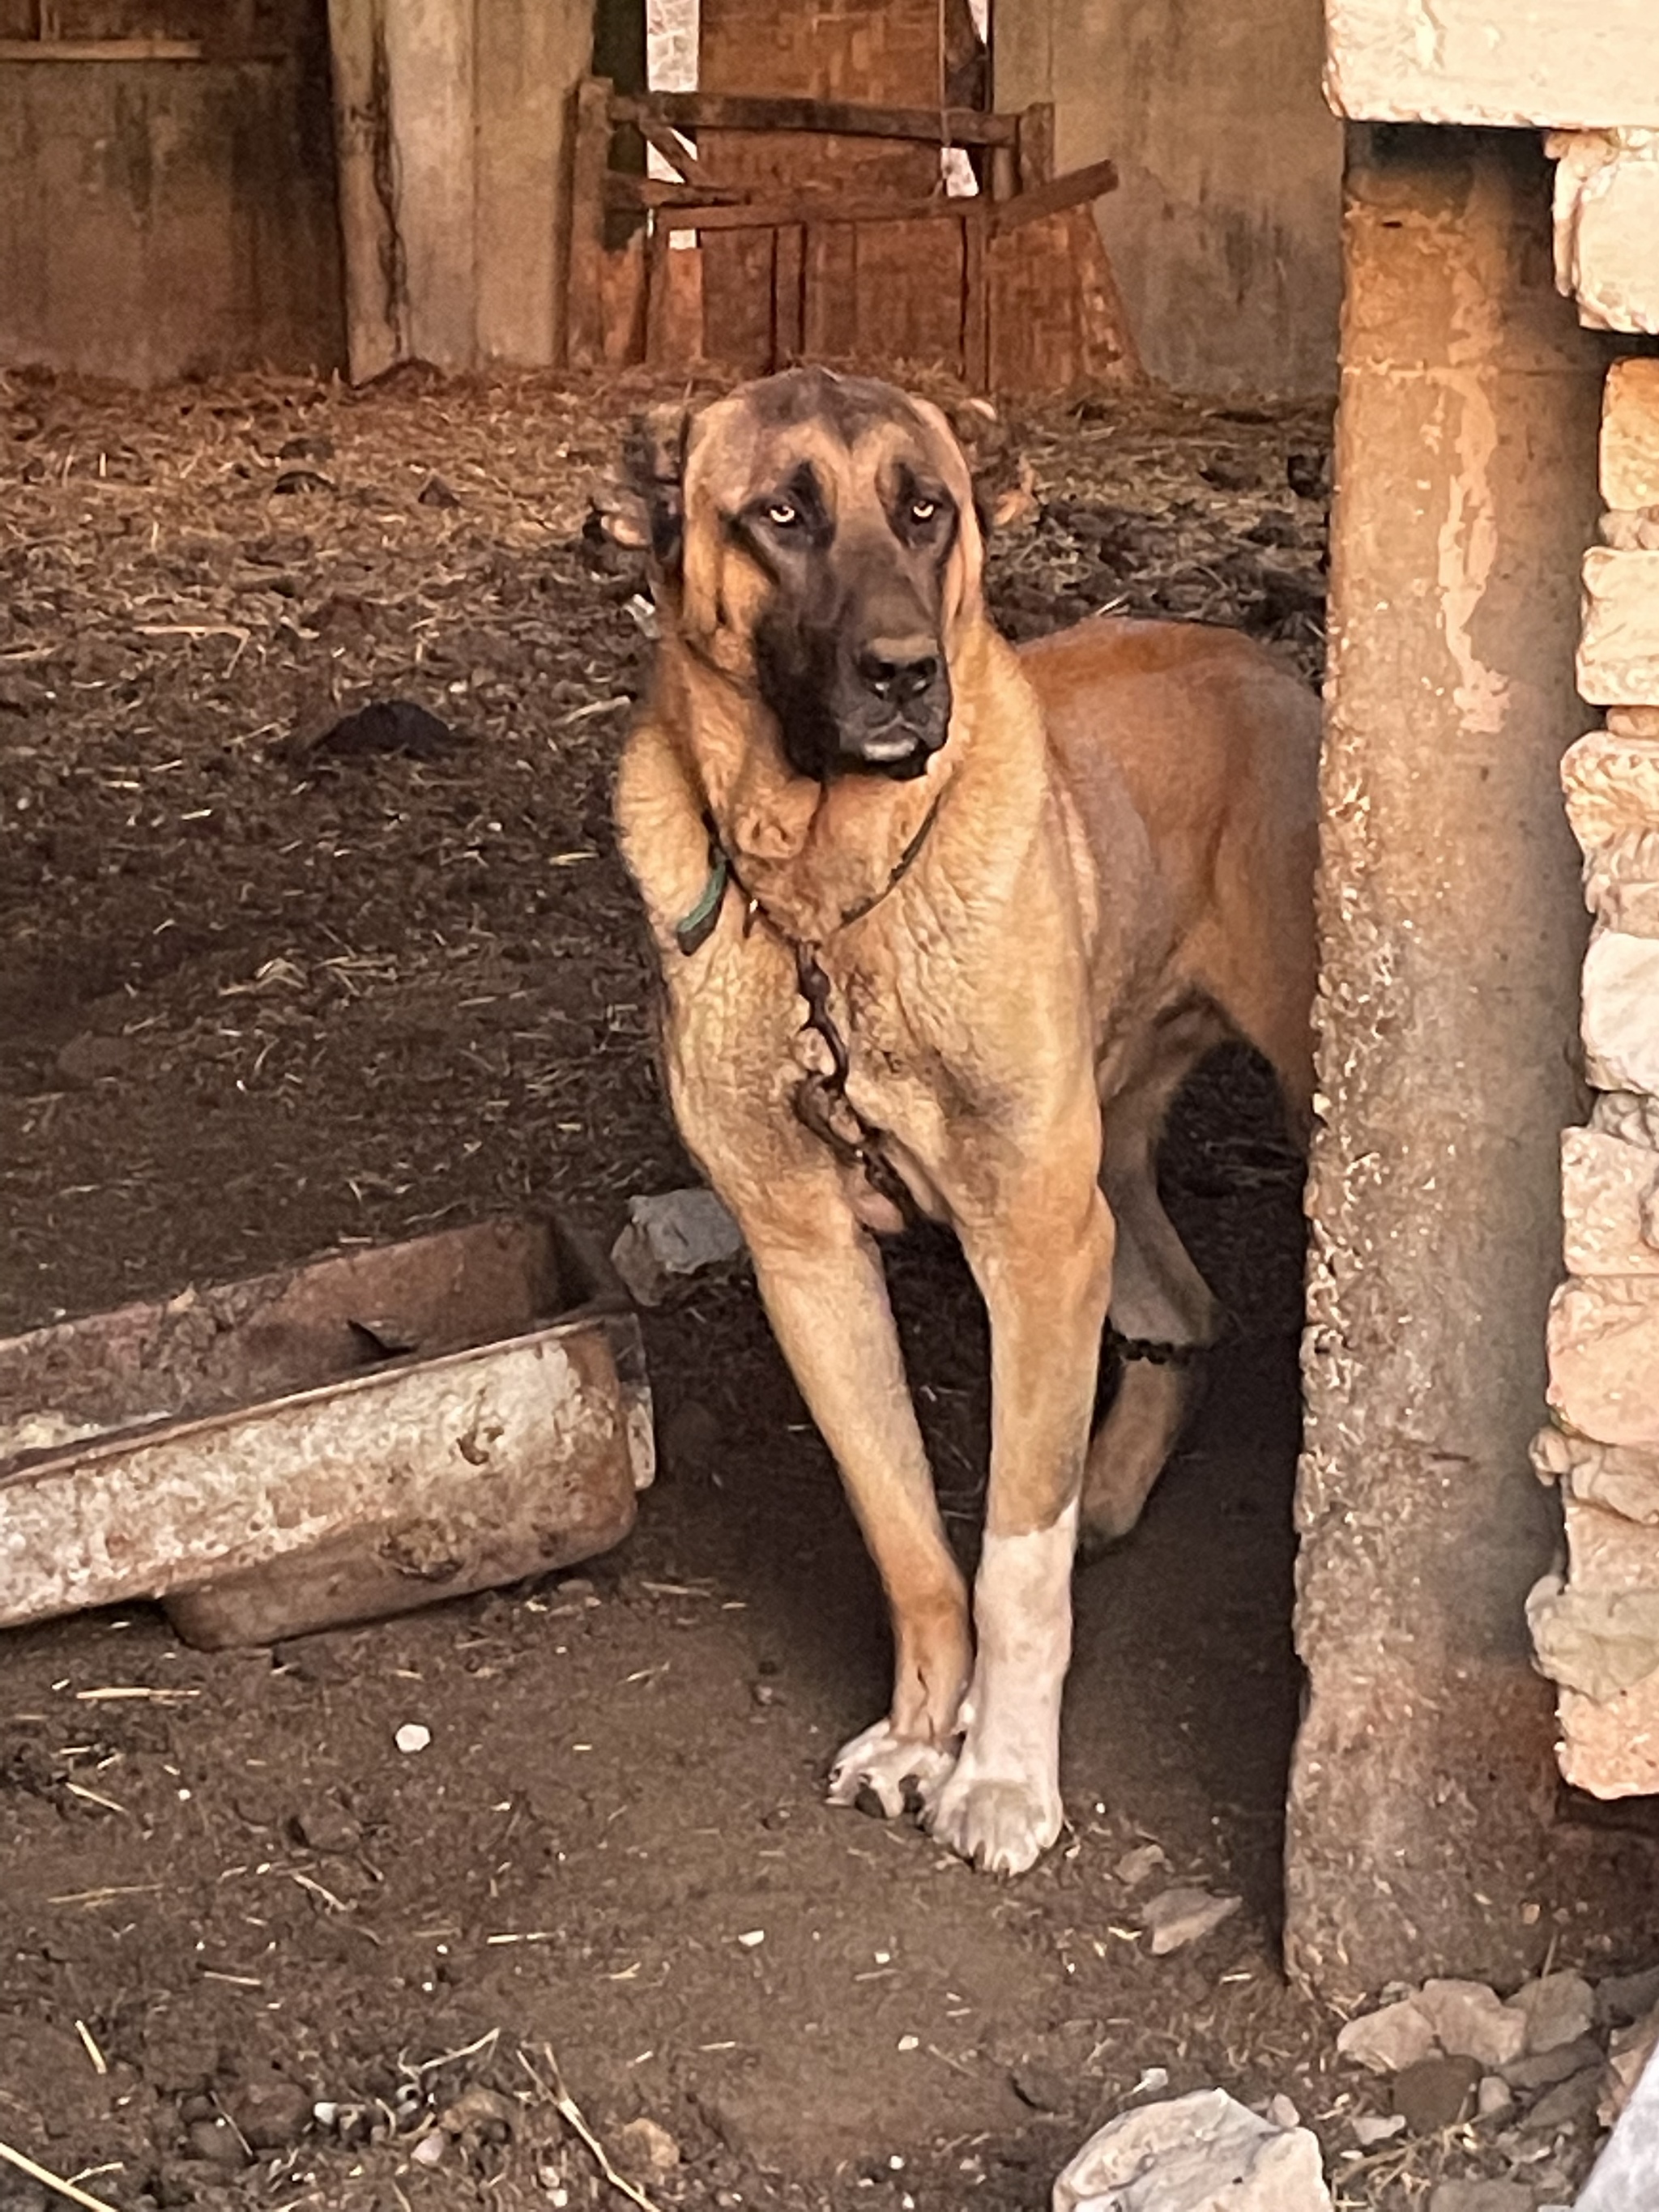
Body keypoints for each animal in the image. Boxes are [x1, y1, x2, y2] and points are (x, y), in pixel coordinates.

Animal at [619, 371, 1318, 1875]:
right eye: (780, 514)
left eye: (925, 509)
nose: (900, 673)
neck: (827, 903)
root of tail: (1261, 662)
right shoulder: (809, 1256)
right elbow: (911, 1544)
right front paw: (920, 1734)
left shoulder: (1031, 1245)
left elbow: (1011, 1559)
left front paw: (1001, 1773)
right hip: (1099, 1162)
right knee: (1180, 1307)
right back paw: (1111, 1484)